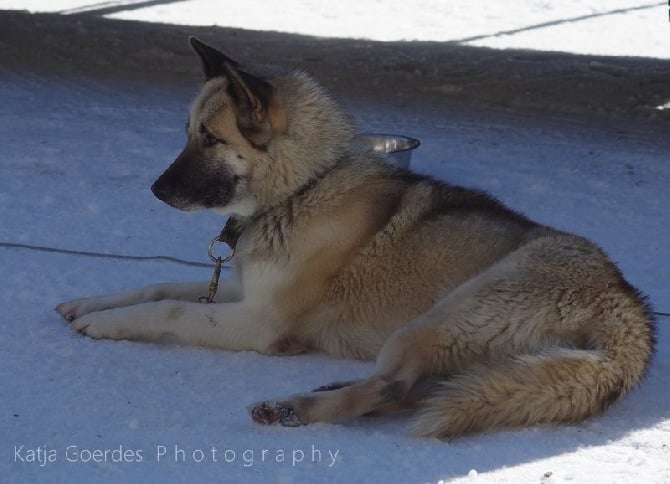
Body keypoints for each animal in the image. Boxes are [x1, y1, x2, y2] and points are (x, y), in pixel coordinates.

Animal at [56, 37, 656, 438]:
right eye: (186, 133)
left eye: (208, 138)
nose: (155, 189)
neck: (303, 187)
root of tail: (628, 306)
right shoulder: (244, 291)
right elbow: (158, 287)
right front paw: (94, 303)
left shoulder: (260, 322)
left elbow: (172, 309)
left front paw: (106, 324)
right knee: (418, 389)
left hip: (444, 315)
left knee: (395, 387)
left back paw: (297, 408)